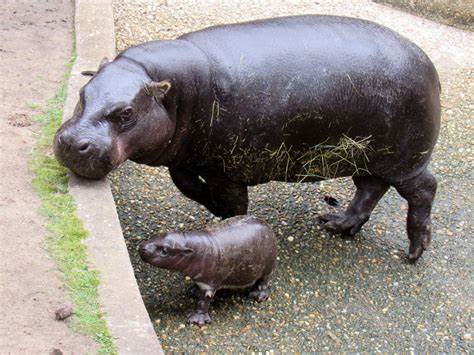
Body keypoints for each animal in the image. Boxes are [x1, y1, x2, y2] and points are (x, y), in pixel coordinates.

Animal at [54, 15, 440, 262]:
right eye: (83, 92)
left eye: (126, 113)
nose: (72, 142)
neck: (171, 88)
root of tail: (429, 64)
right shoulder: (190, 158)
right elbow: (184, 183)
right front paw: (210, 205)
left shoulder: (229, 170)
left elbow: (235, 205)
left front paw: (228, 222)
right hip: (365, 157)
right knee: (370, 188)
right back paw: (337, 224)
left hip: (404, 158)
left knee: (423, 188)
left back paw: (414, 252)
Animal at [137, 216, 278, 326]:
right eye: (156, 235)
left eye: (165, 250)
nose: (142, 247)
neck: (191, 247)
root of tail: (268, 226)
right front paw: (193, 291)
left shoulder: (208, 285)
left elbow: (203, 302)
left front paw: (195, 320)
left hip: (267, 267)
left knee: (263, 281)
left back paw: (257, 296)